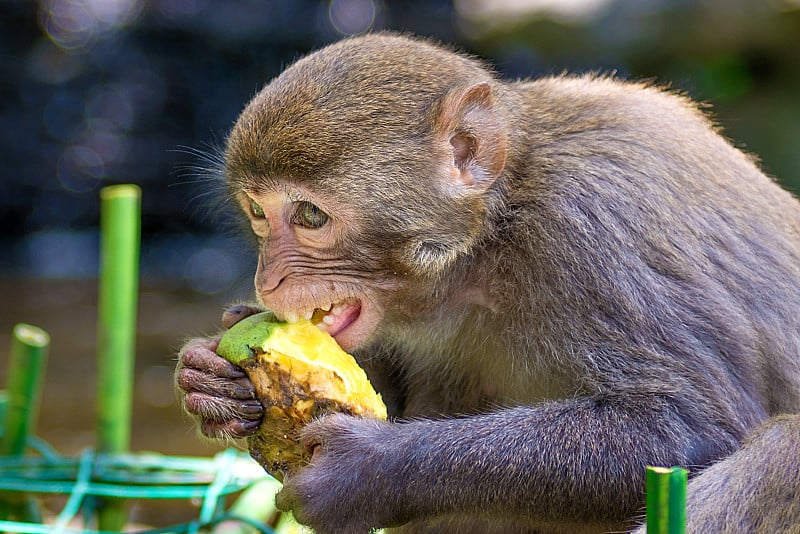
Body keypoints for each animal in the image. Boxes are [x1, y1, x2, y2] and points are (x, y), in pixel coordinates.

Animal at [175, 34, 800, 534]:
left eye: (308, 215)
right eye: (258, 212)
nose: (268, 278)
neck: (490, 239)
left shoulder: (596, 227)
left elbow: (687, 428)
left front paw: (366, 471)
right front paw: (213, 378)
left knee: (777, 454)